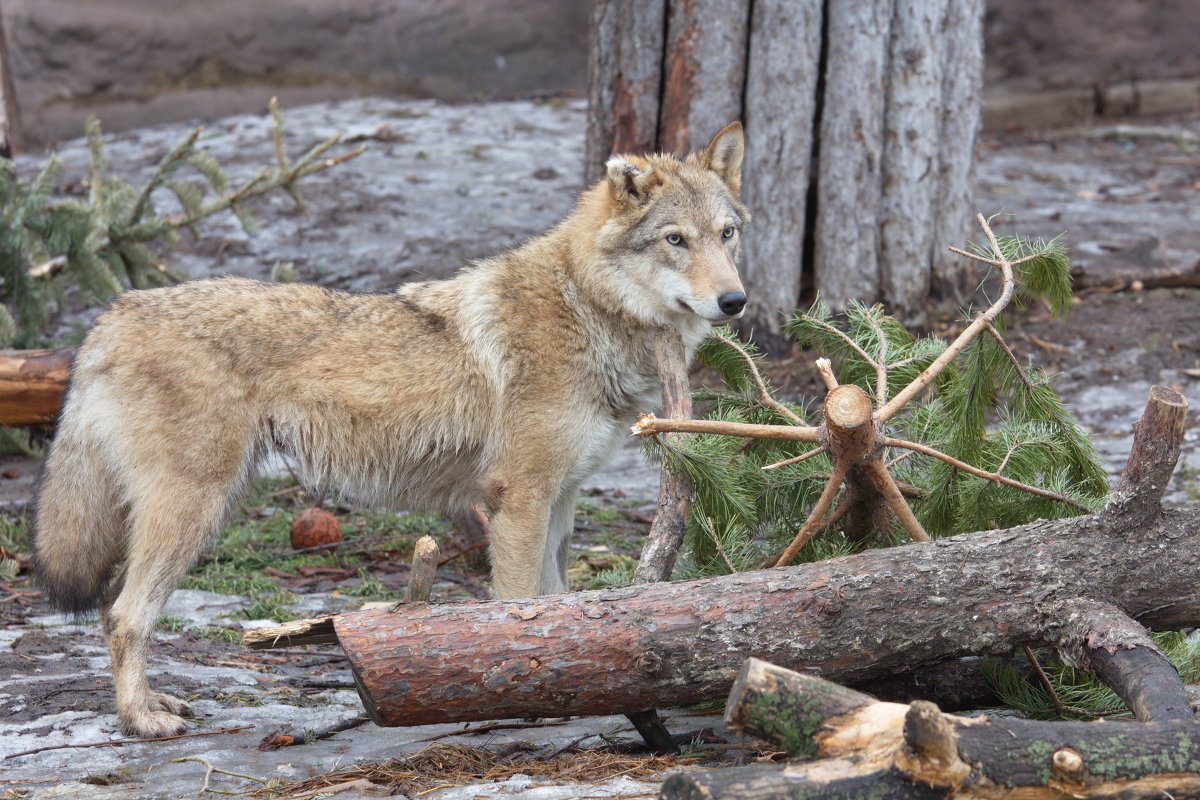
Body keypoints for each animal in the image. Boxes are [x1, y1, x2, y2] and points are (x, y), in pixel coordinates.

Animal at [32, 120, 748, 738]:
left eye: (726, 234)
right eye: (675, 240)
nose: (735, 301)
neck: (587, 309)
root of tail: (112, 314)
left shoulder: (562, 501)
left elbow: (564, 607)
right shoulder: (518, 500)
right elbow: (518, 605)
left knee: (112, 609)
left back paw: (153, 703)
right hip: (194, 510)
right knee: (124, 614)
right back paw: (140, 720)